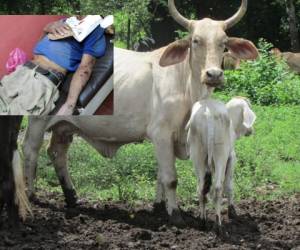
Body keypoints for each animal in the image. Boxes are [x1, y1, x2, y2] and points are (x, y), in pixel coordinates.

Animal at [188, 96, 255, 229]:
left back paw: (202, 221)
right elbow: (228, 185)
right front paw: (232, 212)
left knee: (201, 188)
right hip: (220, 154)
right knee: (217, 188)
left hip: (198, 155)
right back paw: (218, 224)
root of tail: (208, 114)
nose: (251, 130)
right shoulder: (231, 158)